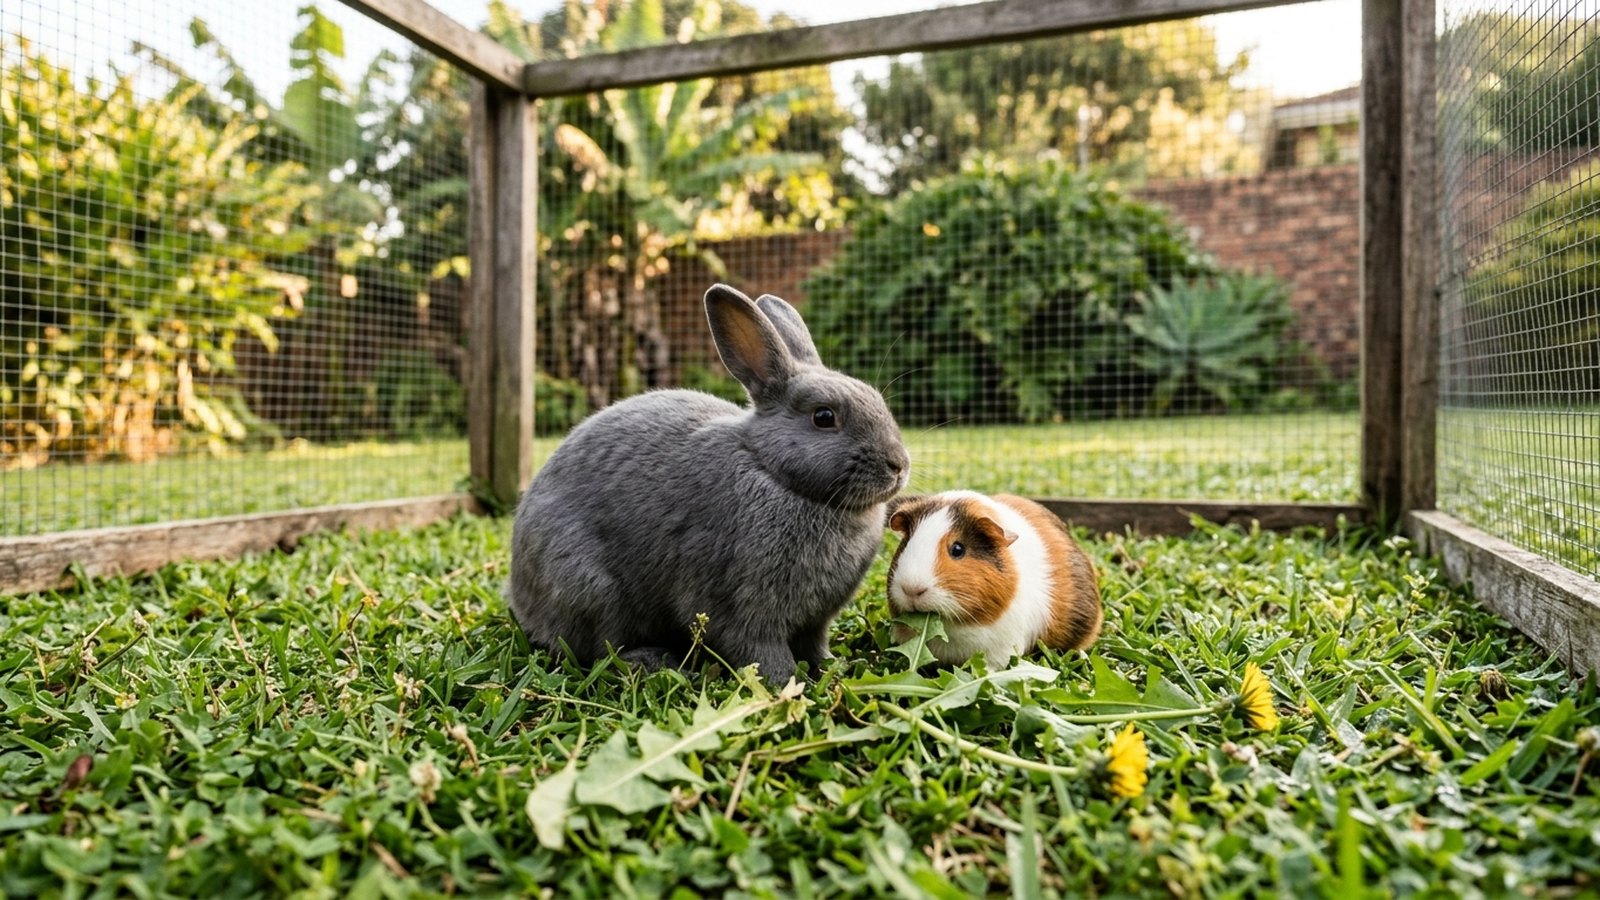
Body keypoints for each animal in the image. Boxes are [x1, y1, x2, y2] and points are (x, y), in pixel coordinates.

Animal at [508, 284, 911, 684]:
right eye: (824, 417)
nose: (899, 465)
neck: (773, 472)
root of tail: (520, 594)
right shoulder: (737, 604)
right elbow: (760, 650)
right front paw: (789, 685)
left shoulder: (816, 620)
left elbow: (815, 645)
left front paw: (830, 668)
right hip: (593, 590)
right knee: (600, 649)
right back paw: (655, 661)